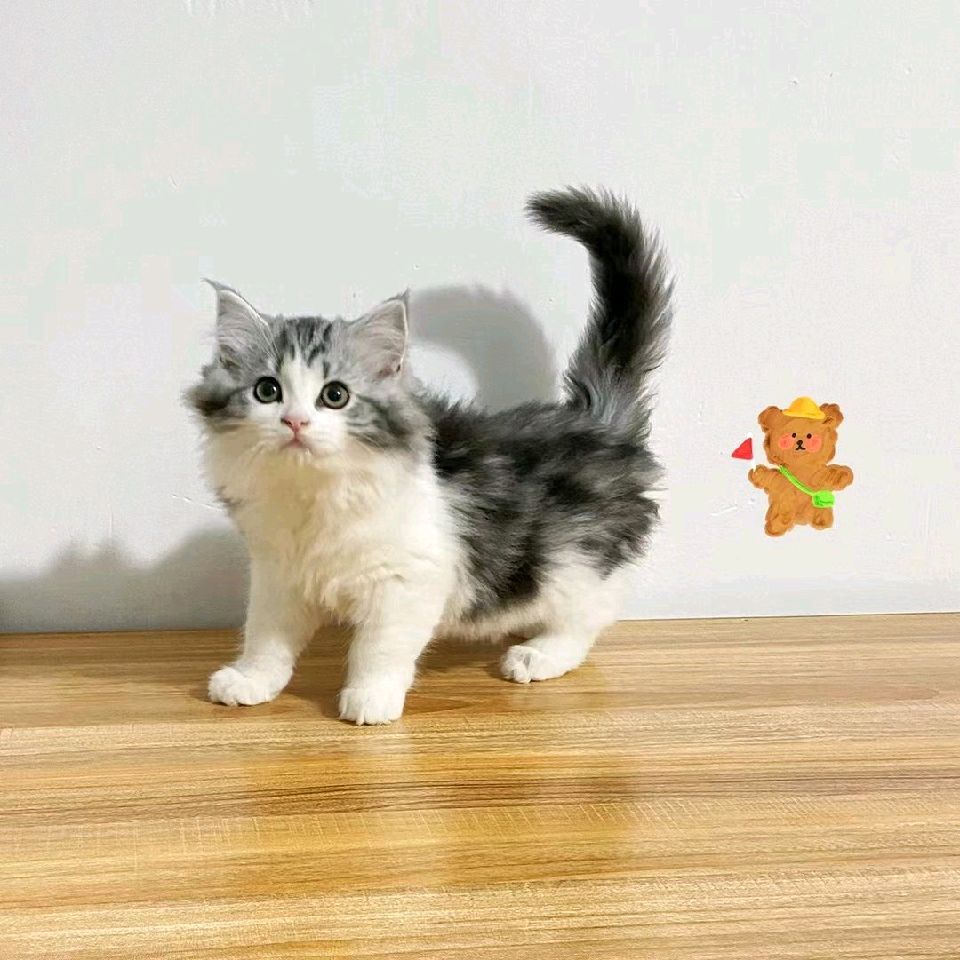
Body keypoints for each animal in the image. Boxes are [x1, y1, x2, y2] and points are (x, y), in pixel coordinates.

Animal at [186, 187, 672, 724]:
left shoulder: (409, 579)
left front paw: (370, 697)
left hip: (574, 557)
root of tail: (595, 419)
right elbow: (266, 635)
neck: (313, 493)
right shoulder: (278, 574)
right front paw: (252, 679)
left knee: (592, 613)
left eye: (335, 396)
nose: (295, 422)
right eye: (267, 391)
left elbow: (379, 647)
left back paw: (540, 654)